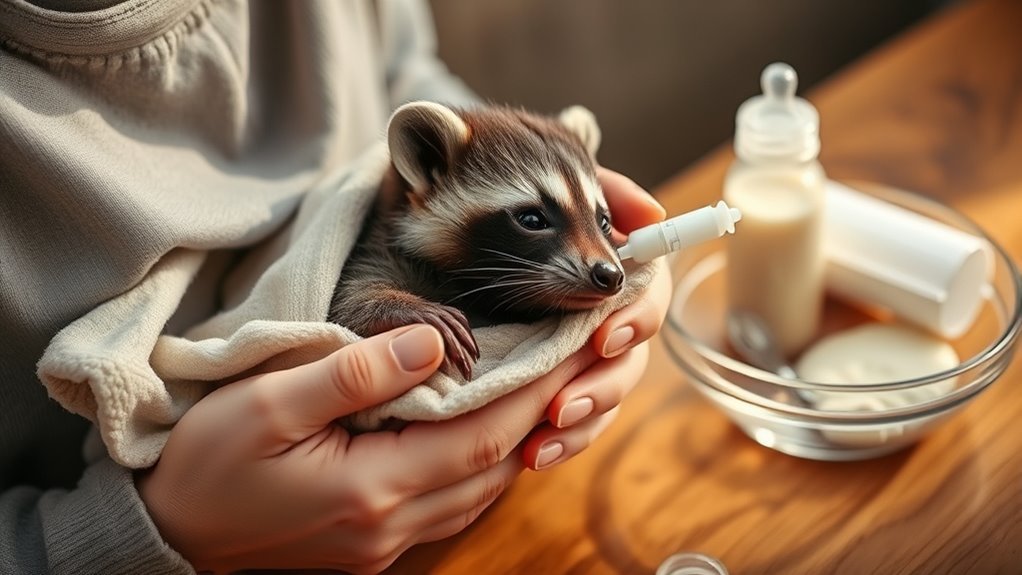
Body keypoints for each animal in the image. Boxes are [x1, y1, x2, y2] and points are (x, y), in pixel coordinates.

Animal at [328, 102, 624, 379]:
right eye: (532, 220)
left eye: (604, 222)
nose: (609, 274)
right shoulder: (378, 248)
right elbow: (349, 305)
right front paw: (405, 307)